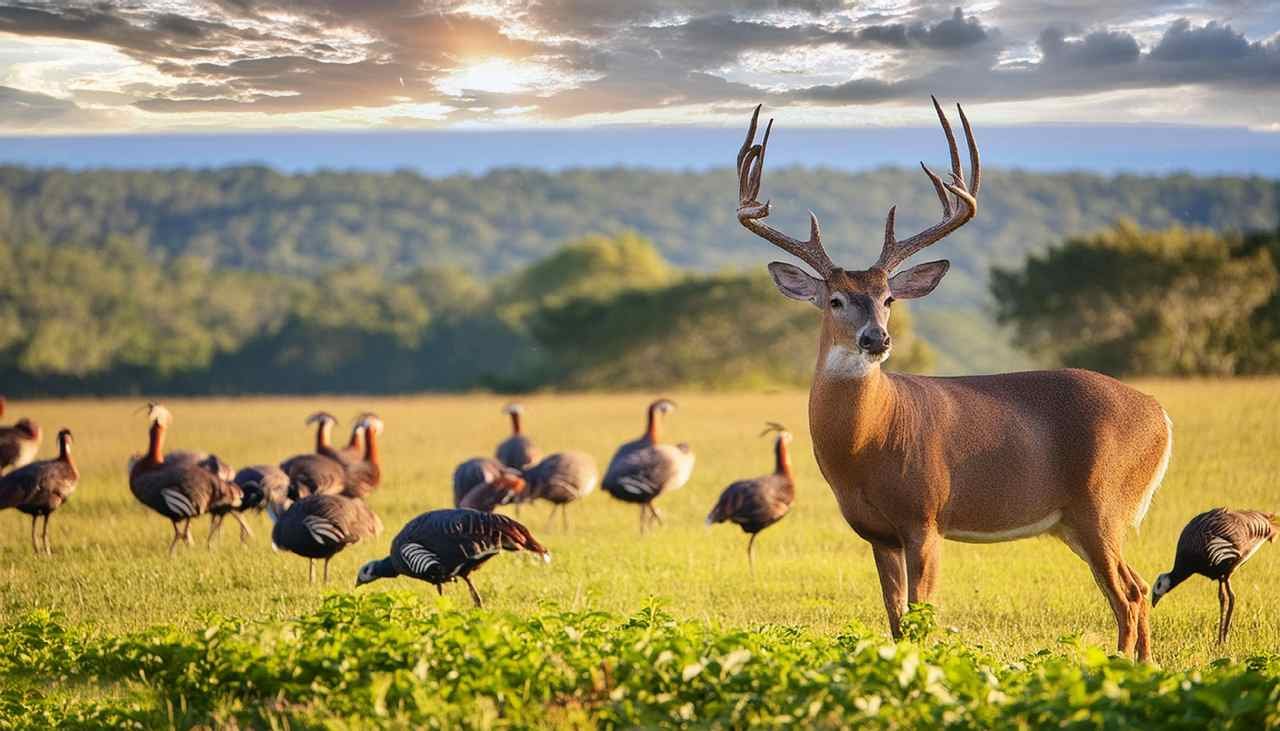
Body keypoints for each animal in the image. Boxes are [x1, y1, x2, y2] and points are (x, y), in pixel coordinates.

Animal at [734, 98, 1173, 661]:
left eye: (888, 298)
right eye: (835, 300)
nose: (876, 339)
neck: (868, 441)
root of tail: (1159, 412)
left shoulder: (926, 514)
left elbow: (923, 615)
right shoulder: (878, 533)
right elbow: (896, 619)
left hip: (1104, 504)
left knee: (1128, 594)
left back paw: (1122, 667)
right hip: (1074, 522)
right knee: (1137, 587)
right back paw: (1142, 666)